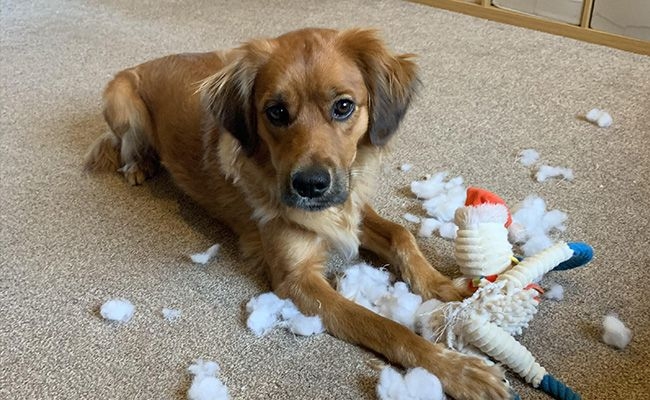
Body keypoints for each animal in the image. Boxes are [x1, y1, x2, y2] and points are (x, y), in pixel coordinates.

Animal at [86, 28, 508, 400]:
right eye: (275, 112)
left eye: (343, 106)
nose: (310, 185)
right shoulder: (296, 280)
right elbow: (383, 326)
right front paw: (456, 370)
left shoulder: (350, 209)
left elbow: (401, 234)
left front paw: (444, 287)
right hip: (124, 105)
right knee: (125, 144)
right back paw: (139, 164)